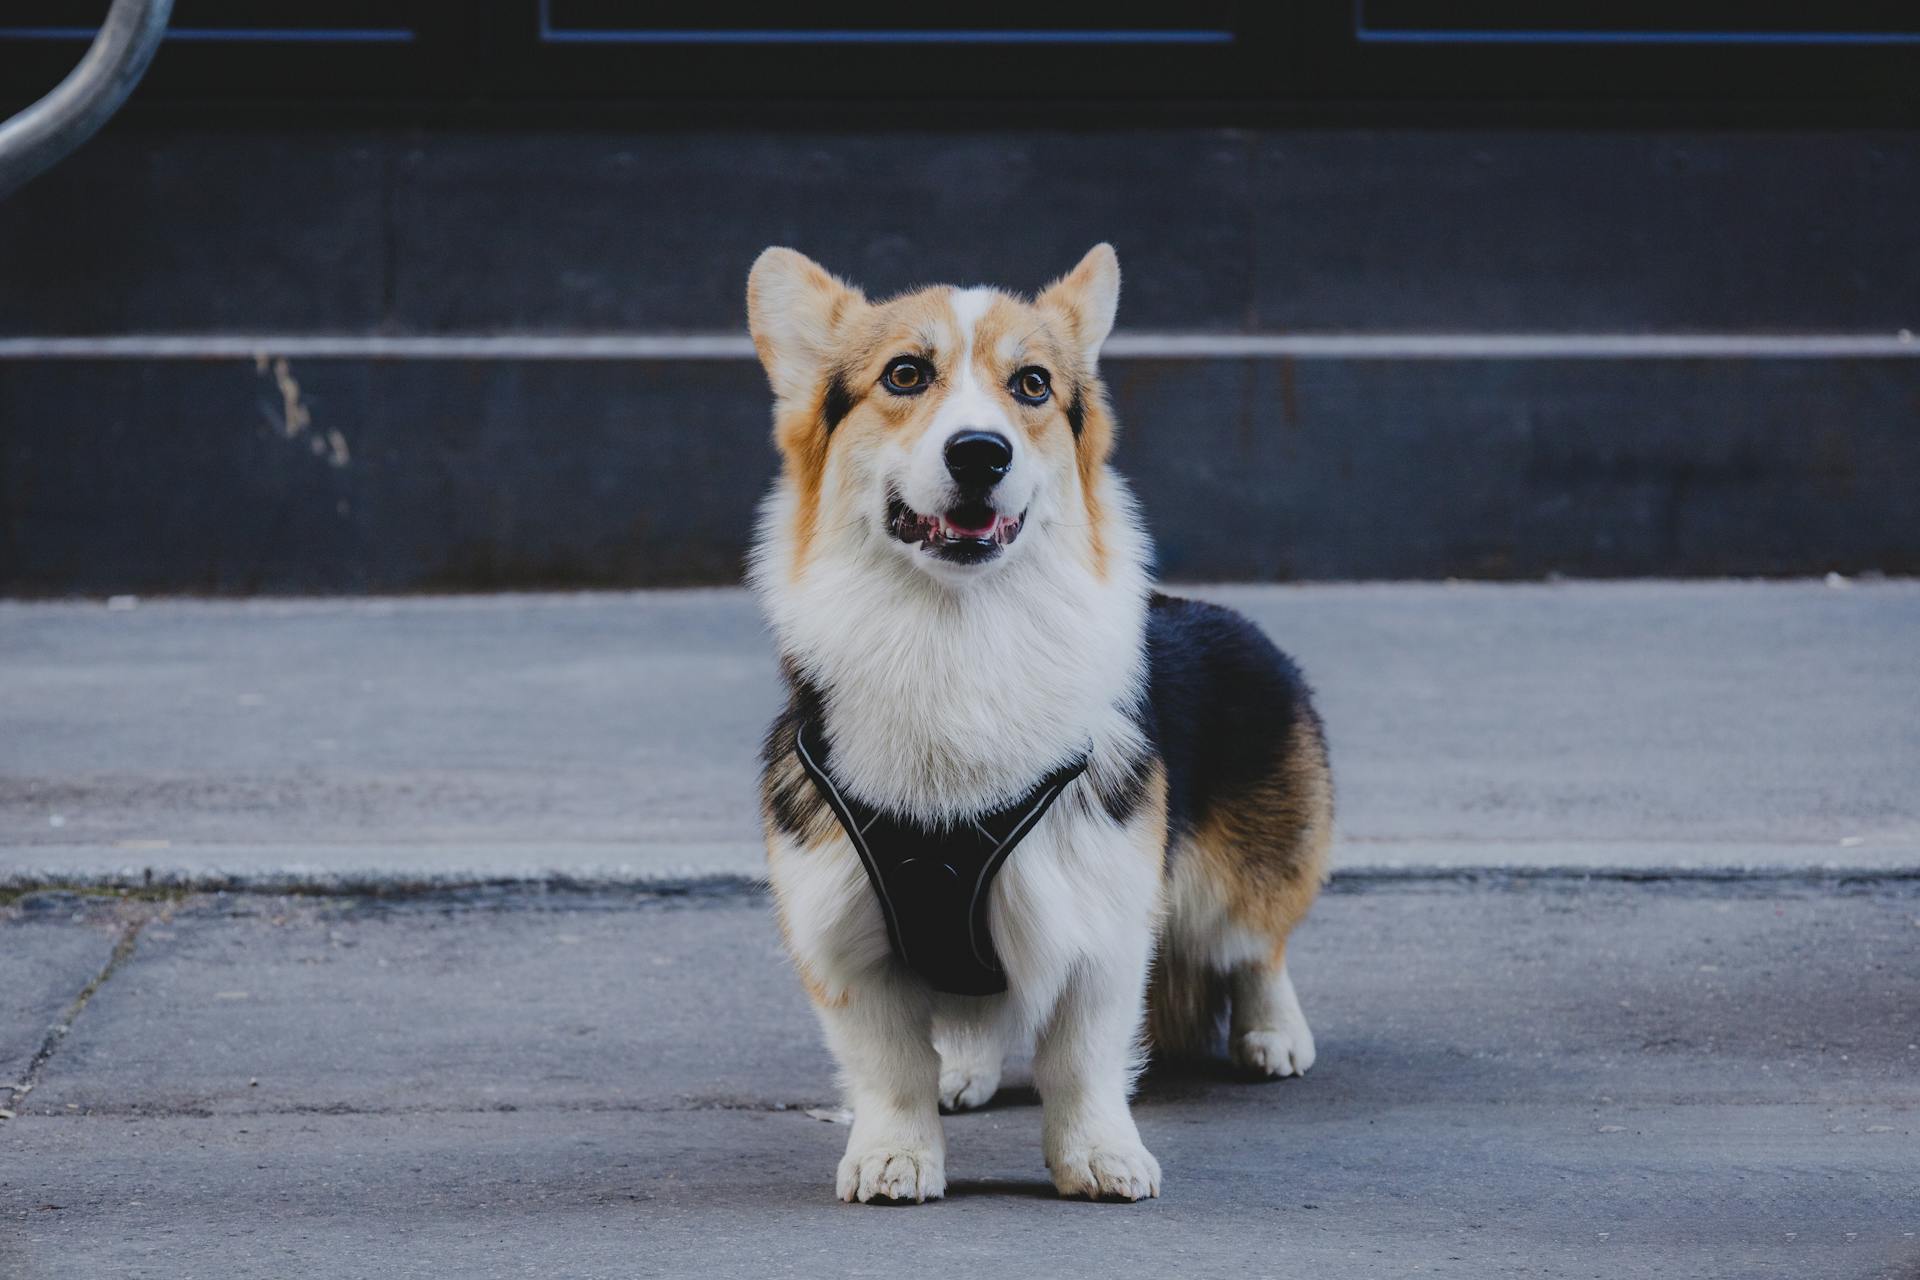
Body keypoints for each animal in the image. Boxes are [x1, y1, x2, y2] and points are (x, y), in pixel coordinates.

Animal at [741, 245, 1328, 1205]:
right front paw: (896, 1154)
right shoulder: (844, 936)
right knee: (973, 1016)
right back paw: (964, 1073)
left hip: (1242, 876)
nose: (981, 453)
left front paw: (1100, 1157)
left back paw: (1274, 1036)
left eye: (1033, 384)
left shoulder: (1103, 915)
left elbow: (1082, 1059)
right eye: (905, 374)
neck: (957, 633)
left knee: (1255, 947)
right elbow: (890, 1067)